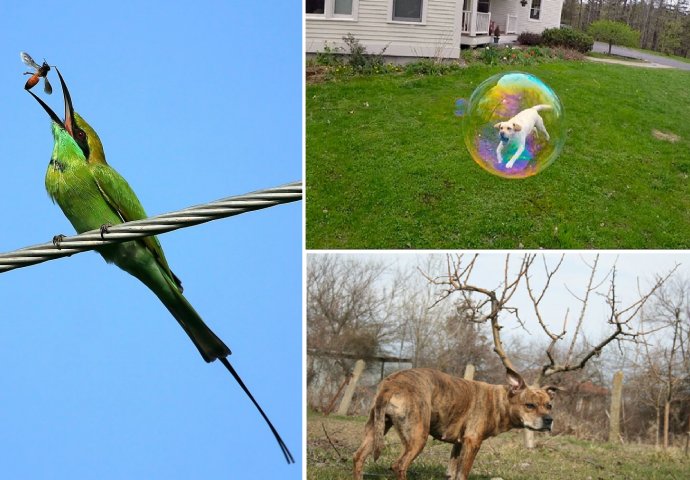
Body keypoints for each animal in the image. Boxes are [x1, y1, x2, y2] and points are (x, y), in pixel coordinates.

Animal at [352, 368, 556, 480]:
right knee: (399, 465)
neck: (500, 401)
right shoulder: (472, 443)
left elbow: (451, 473)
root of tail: (391, 385)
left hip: (375, 429)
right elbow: (462, 474)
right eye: (530, 405)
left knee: (359, 457)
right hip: (418, 438)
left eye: (549, 405)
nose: (549, 420)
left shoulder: (458, 445)